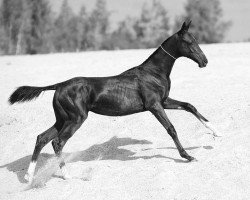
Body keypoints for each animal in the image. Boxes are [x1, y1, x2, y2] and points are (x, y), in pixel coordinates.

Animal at [8, 20, 219, 184]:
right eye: (189, 41)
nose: (205, 61)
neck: (154, 72)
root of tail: (58, 86)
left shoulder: (164, 101)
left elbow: (189, 106)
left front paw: (215, 132)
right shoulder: (154, 105)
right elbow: (171, 128)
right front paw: (187, 156)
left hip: (62, 119)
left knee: (42, 138)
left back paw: (28, 177)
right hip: (76, 119)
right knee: (57, 142)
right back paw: (67, 175)